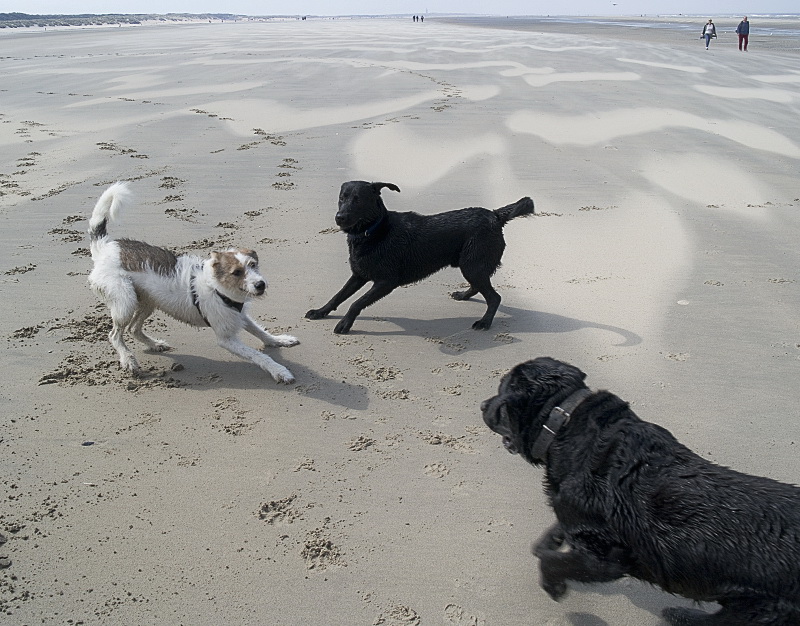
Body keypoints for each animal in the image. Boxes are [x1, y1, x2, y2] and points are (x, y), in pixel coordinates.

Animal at [304, 180, 536, 334]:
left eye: (358, 200)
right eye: (341, 198)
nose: (340, 217)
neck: (373, 231)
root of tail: (495, 215)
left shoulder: (386, 282)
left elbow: (356, 302)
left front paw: (345, 323)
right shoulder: (358, 275)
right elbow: (338, 296)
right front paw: (320, 312)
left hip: (472, 264)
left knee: (494, 297)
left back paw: (485, 323)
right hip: (471, 265)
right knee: (480, 287)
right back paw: (463, 296)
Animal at [482, 356, 800, 624]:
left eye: (502, 388)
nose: (483, 405)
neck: (564, 423)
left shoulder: (608, 559)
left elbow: (551, 562)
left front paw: (553, 584)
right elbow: (557, 531)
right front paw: (550, 540)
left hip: (758, 608)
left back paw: (680, 615)